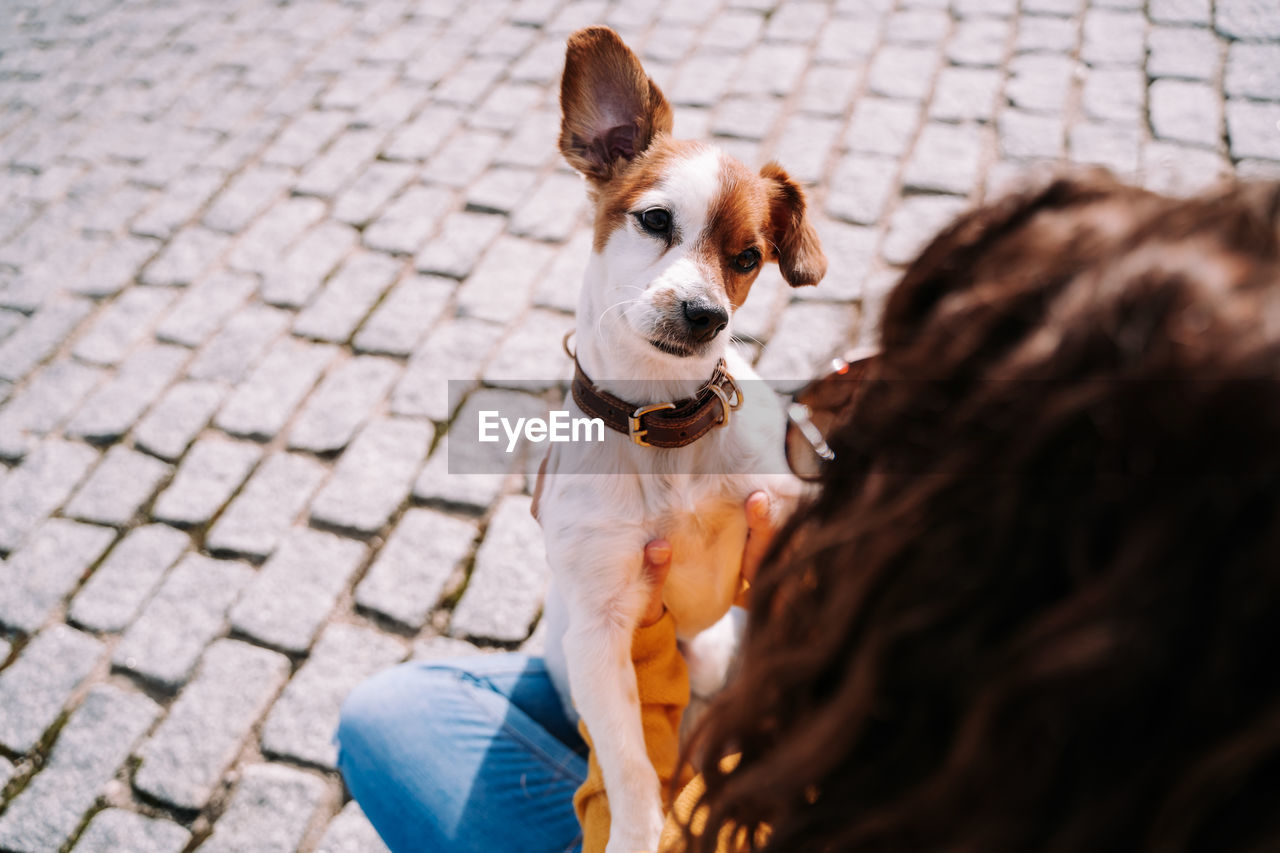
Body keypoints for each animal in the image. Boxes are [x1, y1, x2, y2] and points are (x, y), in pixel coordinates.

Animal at [532, 26, 824, 850]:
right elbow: (631, 768)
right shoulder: (601, 636)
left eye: (749, 258)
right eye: (656, 220)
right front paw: (636, 831)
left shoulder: (783, 511)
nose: (706, 315)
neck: (667, 429)